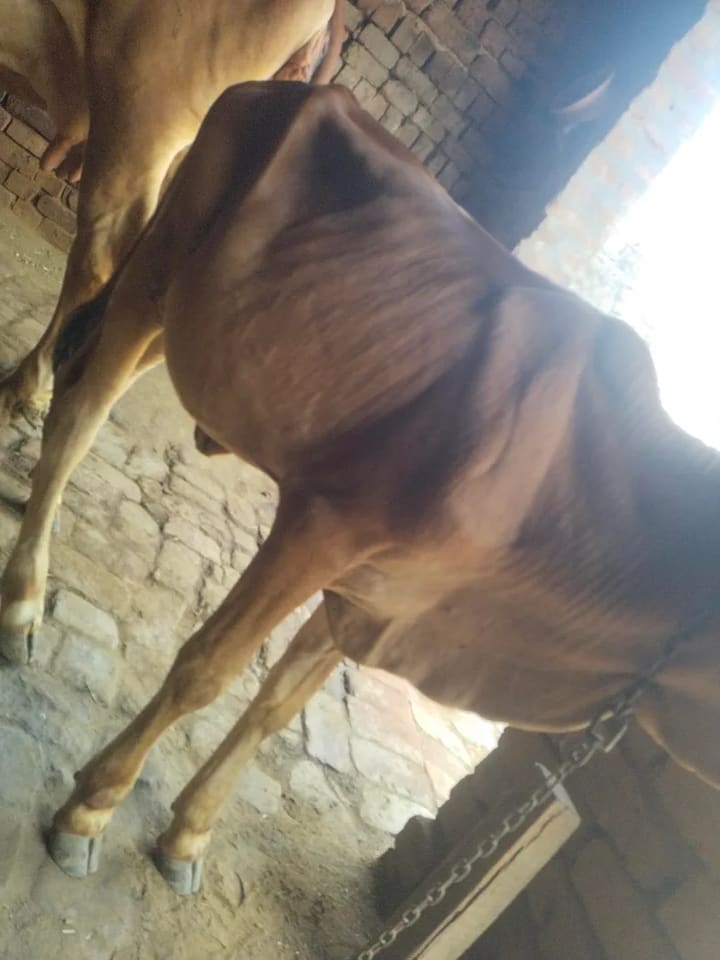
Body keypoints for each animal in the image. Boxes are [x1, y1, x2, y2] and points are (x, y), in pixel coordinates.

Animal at [1, 82, 719, 897]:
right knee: (76, 417)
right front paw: (88, 811)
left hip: (188, 325)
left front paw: (187, 836)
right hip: (155, 275)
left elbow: (275, 705)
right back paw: (23, 600)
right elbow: (206, 672)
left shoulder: (373, 592)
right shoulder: (319, 531)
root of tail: (288, 86)